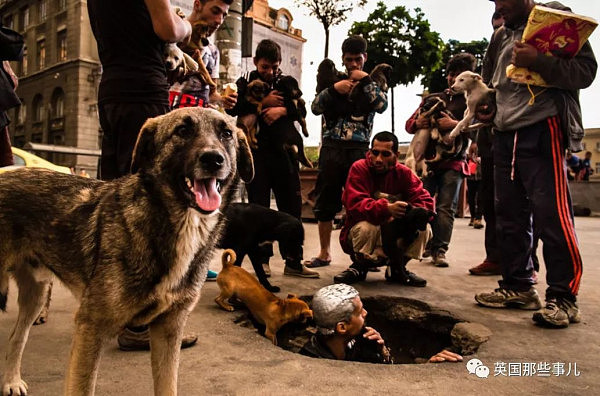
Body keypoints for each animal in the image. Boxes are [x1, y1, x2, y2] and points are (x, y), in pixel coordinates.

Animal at [0, 108, 253, 396]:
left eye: (226, 133)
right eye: (182, 131)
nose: (214, 159)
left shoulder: (168, 330)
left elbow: (168, 386)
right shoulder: (90, 328)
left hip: (36, 293)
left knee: (17, 336)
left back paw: (11, 381)